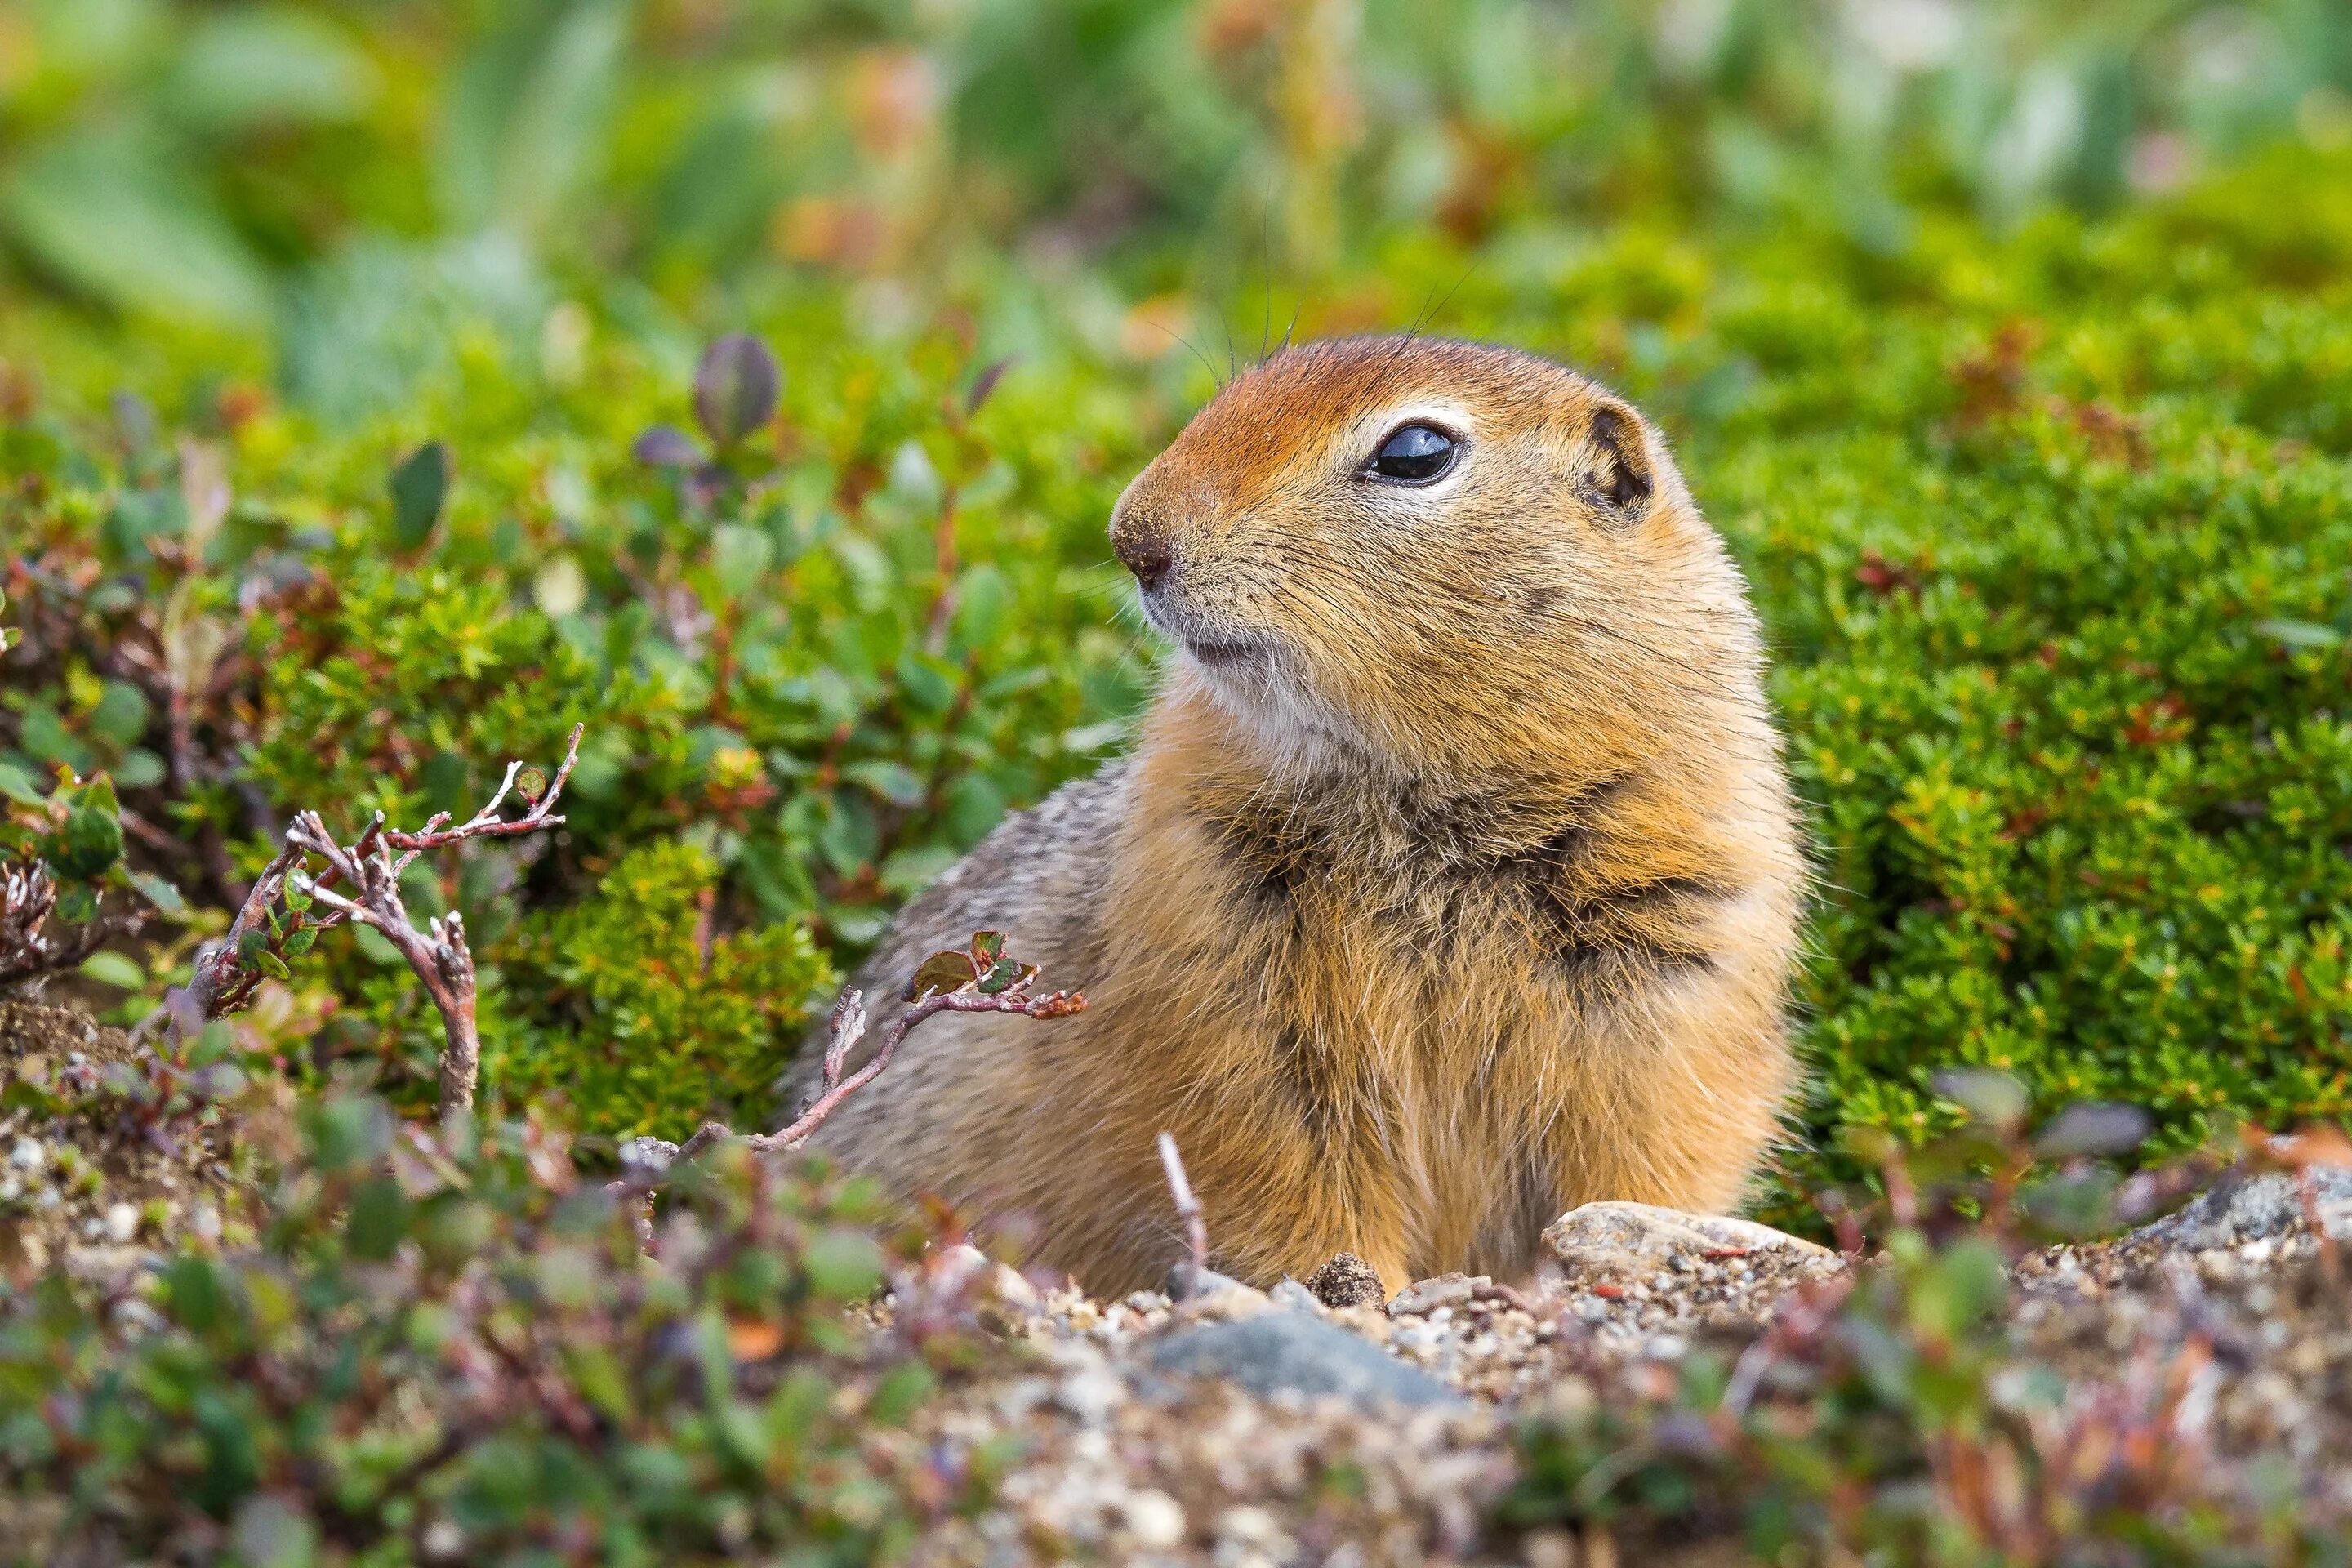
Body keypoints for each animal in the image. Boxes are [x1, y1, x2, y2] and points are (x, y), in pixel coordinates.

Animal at [790, 338, 1797, 1297]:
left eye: (1416, 452)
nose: (1132, 537)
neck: (1421, 802)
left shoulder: (1681, 959)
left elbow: (1650, 1154)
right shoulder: (1221, 972)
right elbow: (1291, 1173)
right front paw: (1354, 1289)